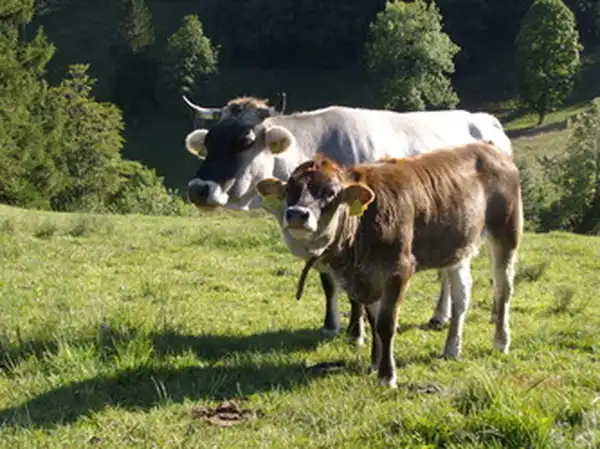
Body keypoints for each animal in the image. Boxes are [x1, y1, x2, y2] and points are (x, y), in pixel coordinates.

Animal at [255, 142, 524, 386]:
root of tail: (489, 148)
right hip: (458, 249)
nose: (296, 214)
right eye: (290, 189)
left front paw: (387, 375)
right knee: (462, 297)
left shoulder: (398, 271)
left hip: (506, 233)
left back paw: (501, 341)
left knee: (503, 289)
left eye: (330, 192)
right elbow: (373, 322)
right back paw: (451, 348)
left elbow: (386, 324)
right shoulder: (367, 277)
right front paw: (374, 363)